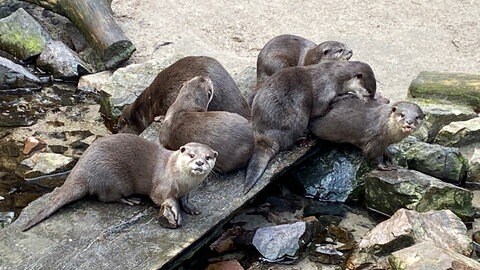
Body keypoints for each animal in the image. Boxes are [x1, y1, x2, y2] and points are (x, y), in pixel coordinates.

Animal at [21, 134, 217, 231]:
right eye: (191, 155)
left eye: (208, 157)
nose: (200, 163)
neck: (182, 181)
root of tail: (81, 167)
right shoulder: (162, 186)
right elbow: (164, 198)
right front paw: (175, 210)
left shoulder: (187, 190)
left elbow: (185, 199)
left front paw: (191, 207)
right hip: (114, 179)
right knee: (105, 197)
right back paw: (130, 200)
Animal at [246, 60, 376, 193]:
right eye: (369, 92)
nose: (372, 101)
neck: (335, 77)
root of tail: (264, 135)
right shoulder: (325, 88)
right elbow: (319, 110)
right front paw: (347, 95)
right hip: (297, 118)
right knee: (287, 142)